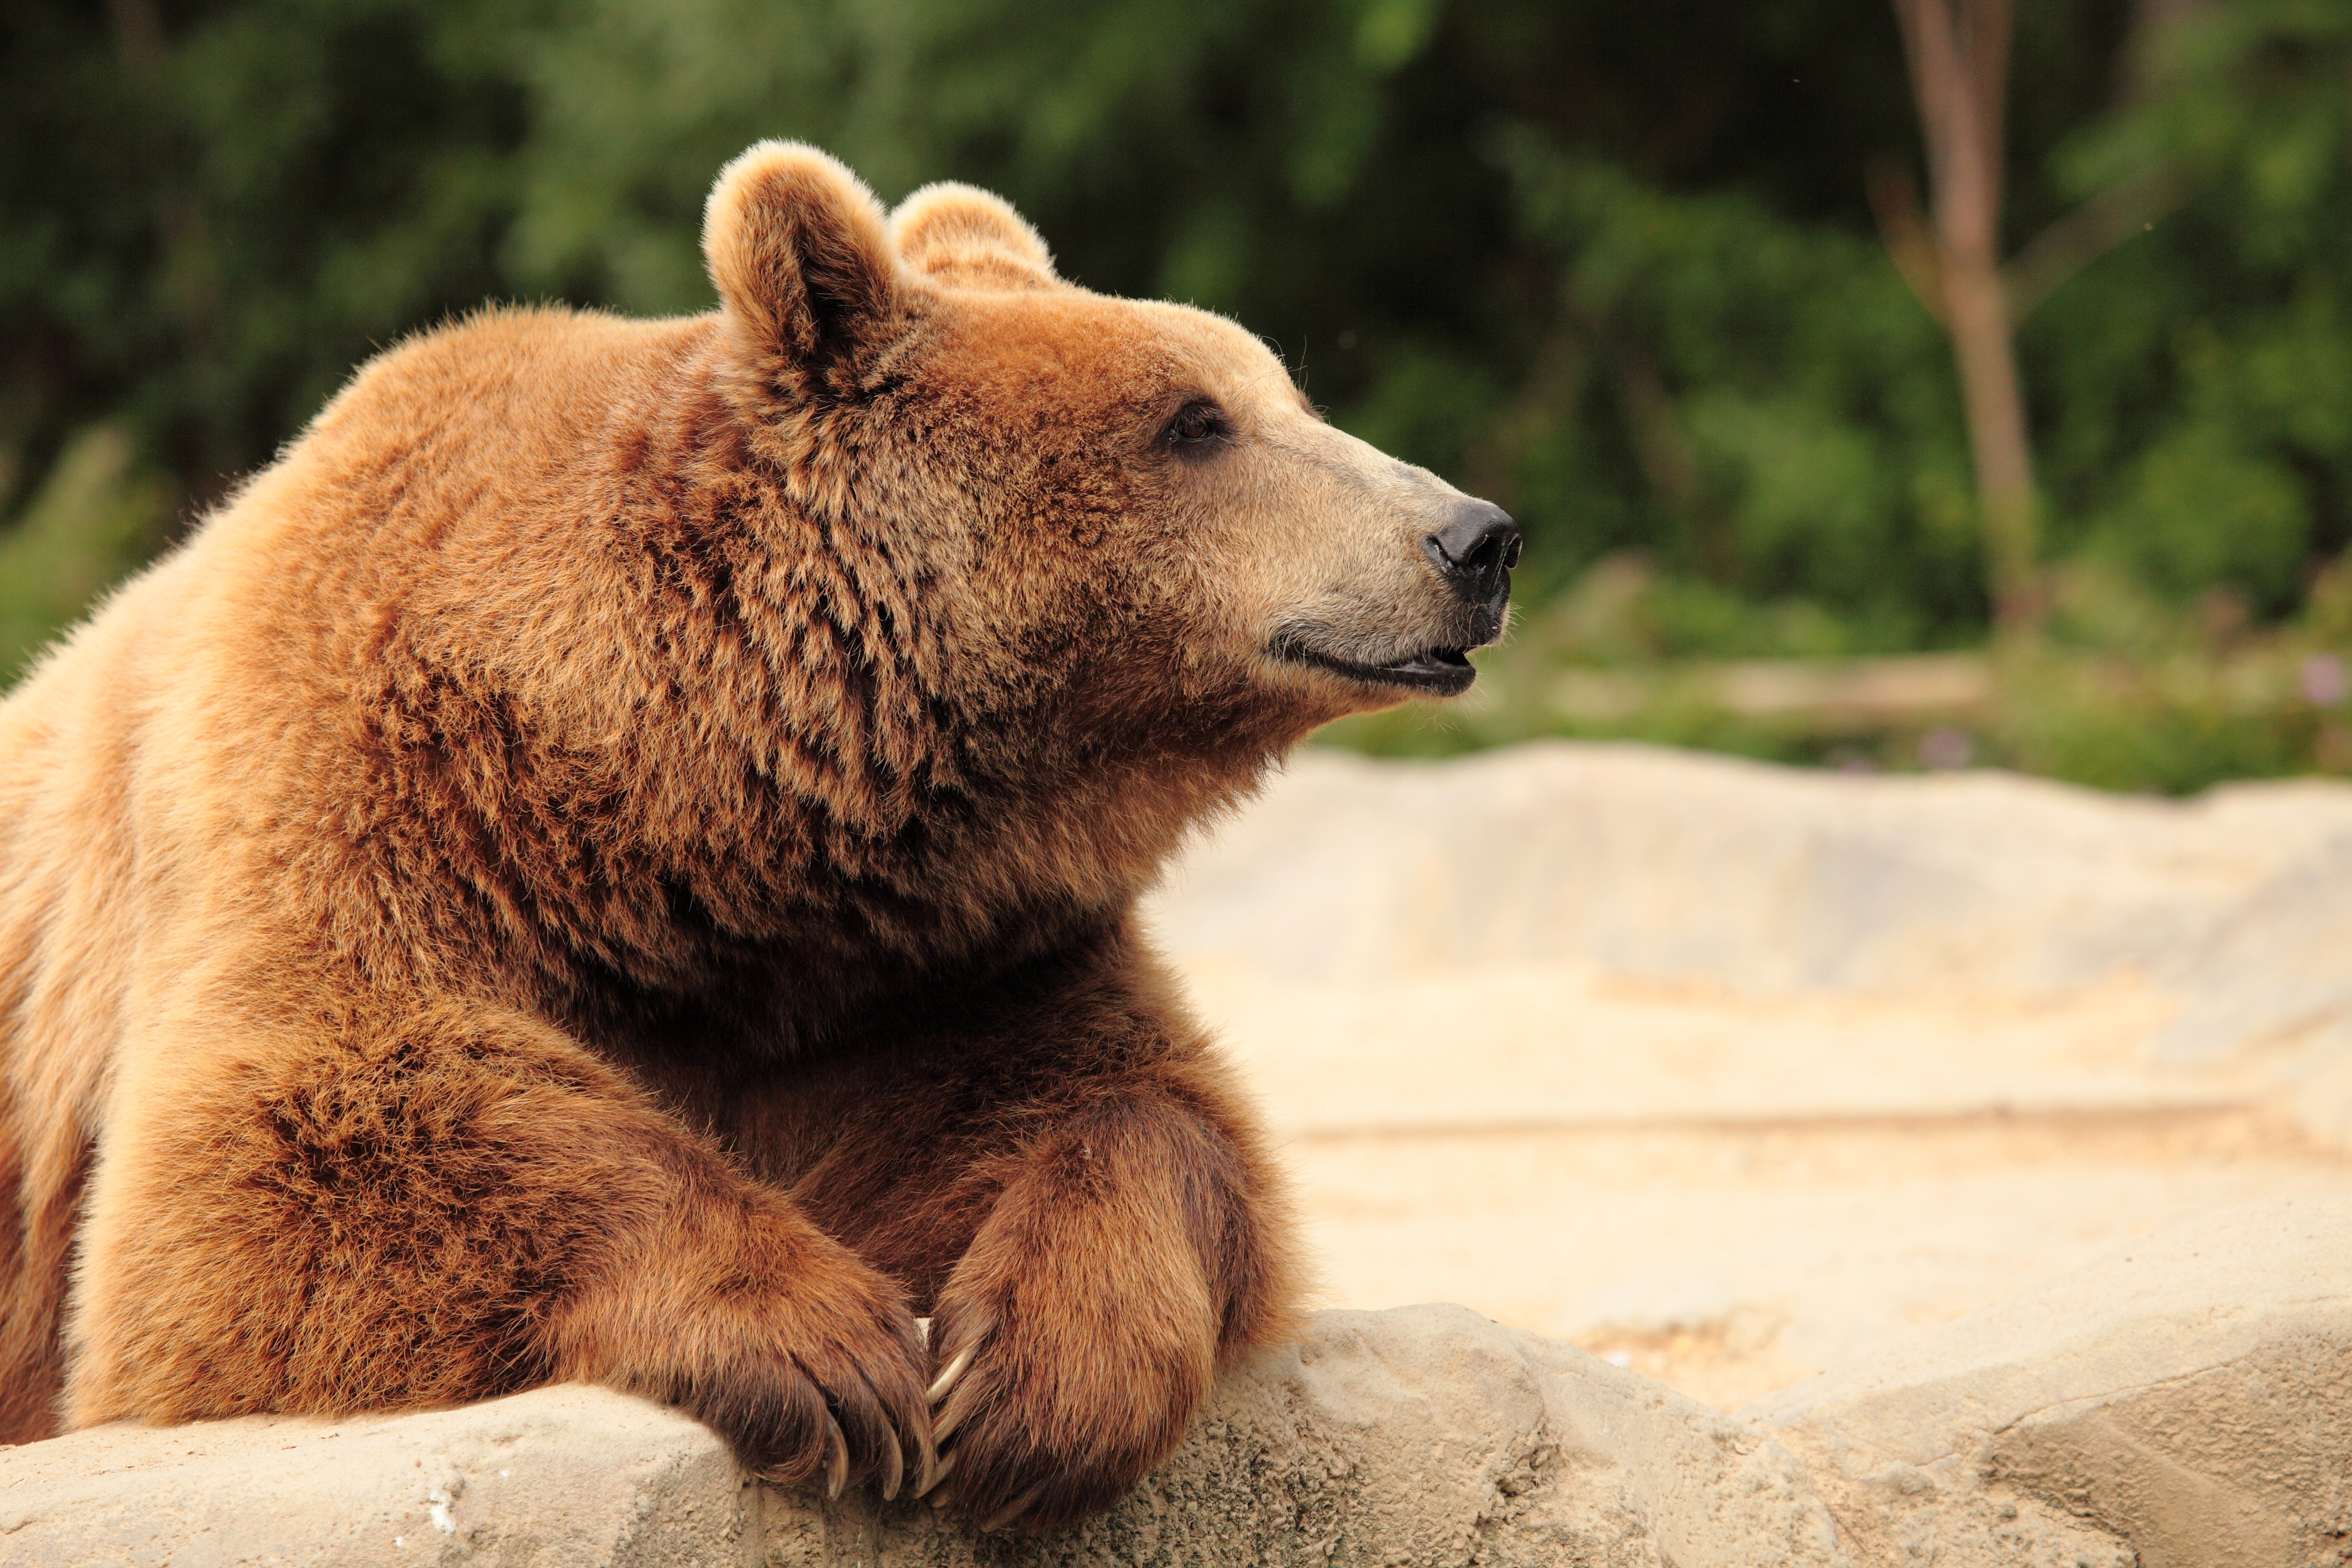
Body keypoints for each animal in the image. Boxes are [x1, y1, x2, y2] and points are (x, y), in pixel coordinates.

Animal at [0, 141, 1524, 1523]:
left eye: (1285, 392)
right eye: (1196, 421)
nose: (1474, 538)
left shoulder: (930, 967)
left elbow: (1141, 1109)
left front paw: (1022, 1383)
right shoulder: (349, 798)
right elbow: (286, 1152)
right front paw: (828, 1358)